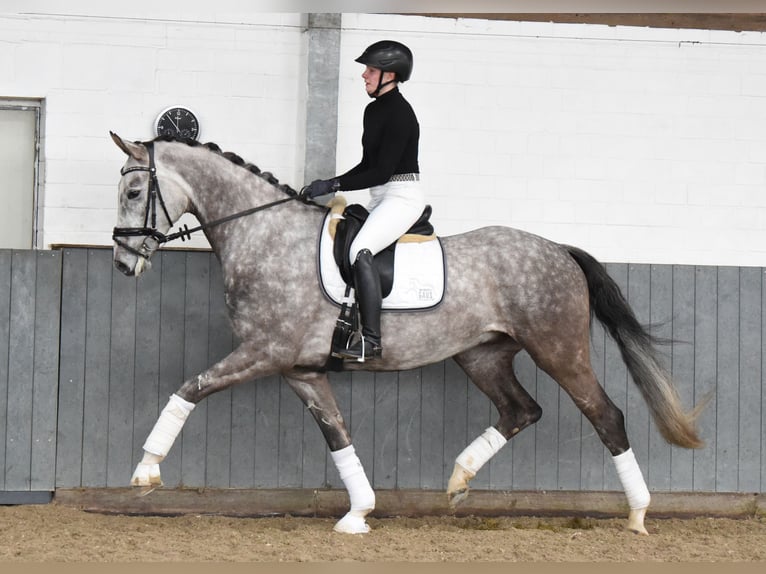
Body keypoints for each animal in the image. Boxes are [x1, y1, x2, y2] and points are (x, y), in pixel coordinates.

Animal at [109, 133, 708, 536]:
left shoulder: (264, 352)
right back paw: (459, 480)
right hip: (482, 355)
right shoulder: (300, 369)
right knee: (522, 410)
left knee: (606, 416)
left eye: (135, 190)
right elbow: (338, 434)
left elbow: (189, 388)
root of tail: (559, 250)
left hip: (559, 351)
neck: (264, 234)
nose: (122, 263)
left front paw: (144, 473)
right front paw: (359, 512)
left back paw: (637, 514)